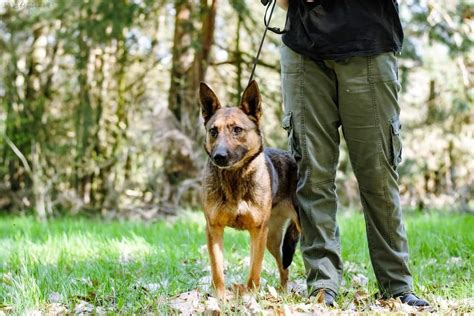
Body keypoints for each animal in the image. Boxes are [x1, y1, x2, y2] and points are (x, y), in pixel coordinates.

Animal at [199, 79, 300, 298]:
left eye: (237, 130)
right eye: (213, 131)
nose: (219, 157)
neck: (234, 178)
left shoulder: (258, 230)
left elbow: (255, 269)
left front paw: (250, 296)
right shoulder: (214, 229)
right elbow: (217, 269)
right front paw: (221, 297)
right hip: (272, 239)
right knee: (284, 267)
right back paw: (282, 293)